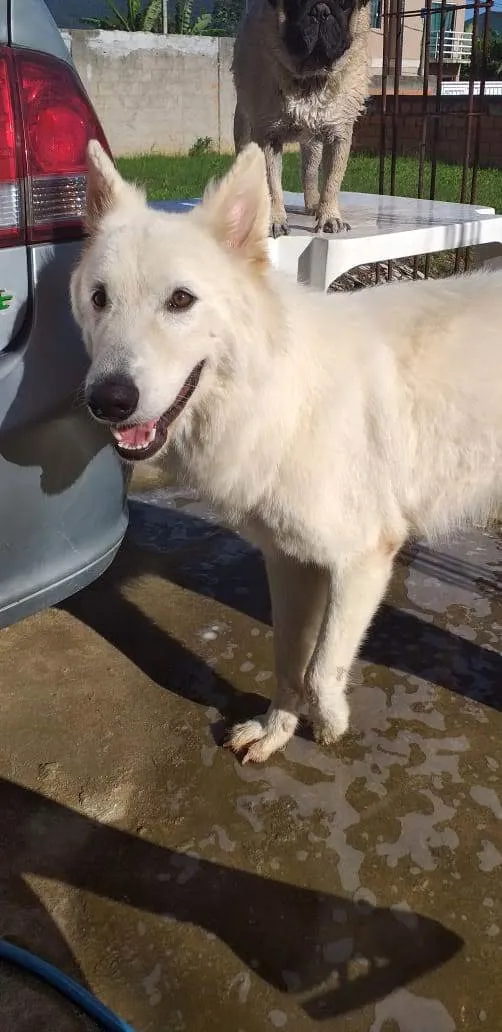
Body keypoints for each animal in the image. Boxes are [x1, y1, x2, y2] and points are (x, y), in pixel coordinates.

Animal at [71, 141, 502, 763]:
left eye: (180, 300)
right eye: (100, 299)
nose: (107, 400)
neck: (280, 394)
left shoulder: (362, 561)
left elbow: (322, 669)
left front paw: (330, 723)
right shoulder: (290, 562)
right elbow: (288, 661)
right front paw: (277, 730)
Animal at [233, 0, 369, 235]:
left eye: (344, 5)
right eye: (295, 3)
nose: (321, 11)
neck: (311, 80)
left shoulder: (338, 136)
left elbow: (332, 181)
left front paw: (329, 217)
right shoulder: (267, 139)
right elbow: (271, 184)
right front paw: (273, 220)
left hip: (313, 144)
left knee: (310, 172)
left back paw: (314, 204)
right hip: (243, 130)